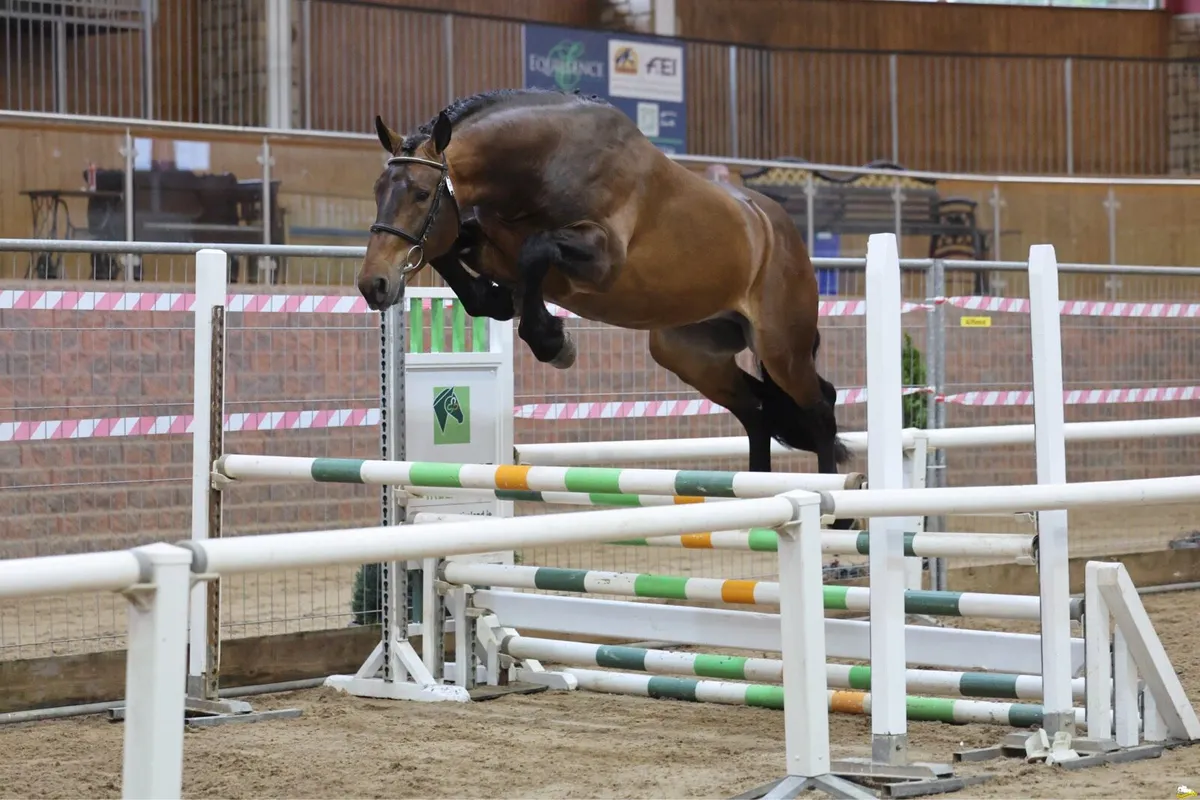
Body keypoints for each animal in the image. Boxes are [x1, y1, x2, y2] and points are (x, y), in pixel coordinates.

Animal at [358, 88, 854, 525]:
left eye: (422, 194)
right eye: (378, 189)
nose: (373, 285)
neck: (542, 168)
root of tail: (780, 229)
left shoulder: (602, 259)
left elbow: (534, 251)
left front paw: (553, 342)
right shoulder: (485, 241)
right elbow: (459, 252)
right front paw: (502, 301)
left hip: (780, 346)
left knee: (819, 407)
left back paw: (842, 514)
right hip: (689, 353)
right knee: (757, 411)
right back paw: (755, 502)